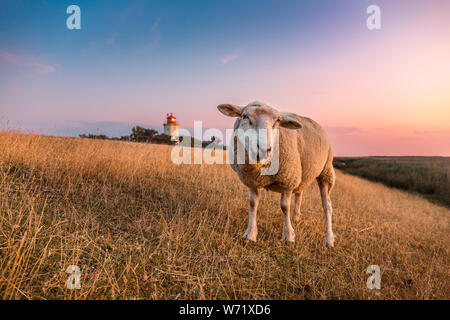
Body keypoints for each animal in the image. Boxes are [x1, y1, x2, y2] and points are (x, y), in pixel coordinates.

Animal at [216, 101, 336, 246]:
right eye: (245, 116)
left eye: (278, 121)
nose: (264, 149)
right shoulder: (252, 180)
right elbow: (253, 203)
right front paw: (250, 234)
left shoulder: (288, 180)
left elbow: (285, 207)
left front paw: (289, 235)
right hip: (303, 172)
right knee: (299, 193)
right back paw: (296, 217)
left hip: (326, 172)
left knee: (327, 206)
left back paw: (328, 239)